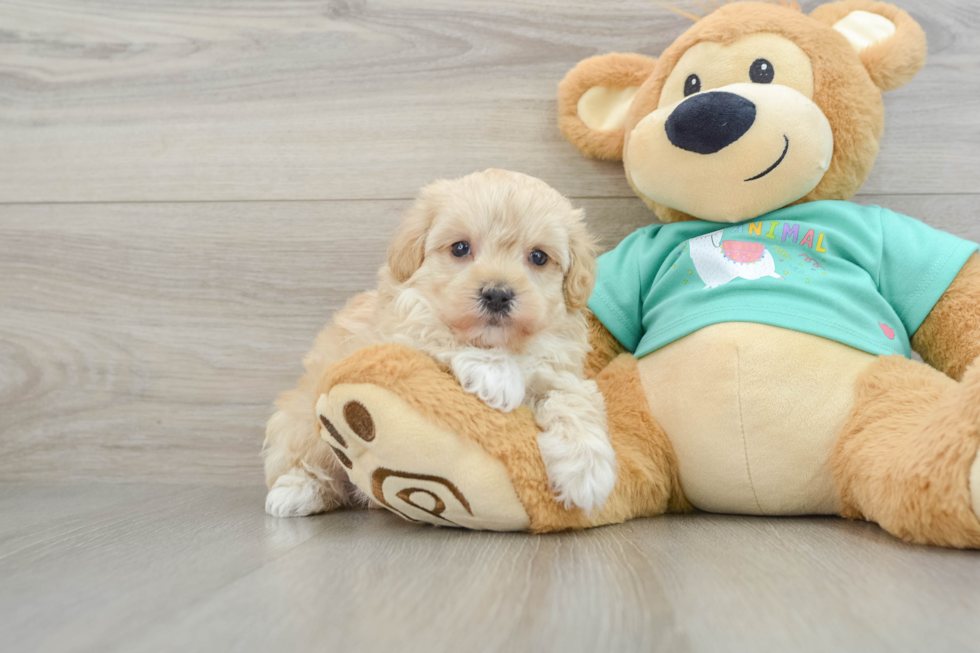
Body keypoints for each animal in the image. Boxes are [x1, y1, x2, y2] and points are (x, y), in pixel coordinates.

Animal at [264, 171, 616, 516]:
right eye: (460, 248)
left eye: (539, 257)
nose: (497, 294)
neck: (502, 344)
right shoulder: (395, 330)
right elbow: (435, 329)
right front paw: (497, 375)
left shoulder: (558, 372)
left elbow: (573, 401)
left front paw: (587, 470)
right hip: (302, 423)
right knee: (303, 460)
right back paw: (297, 491)